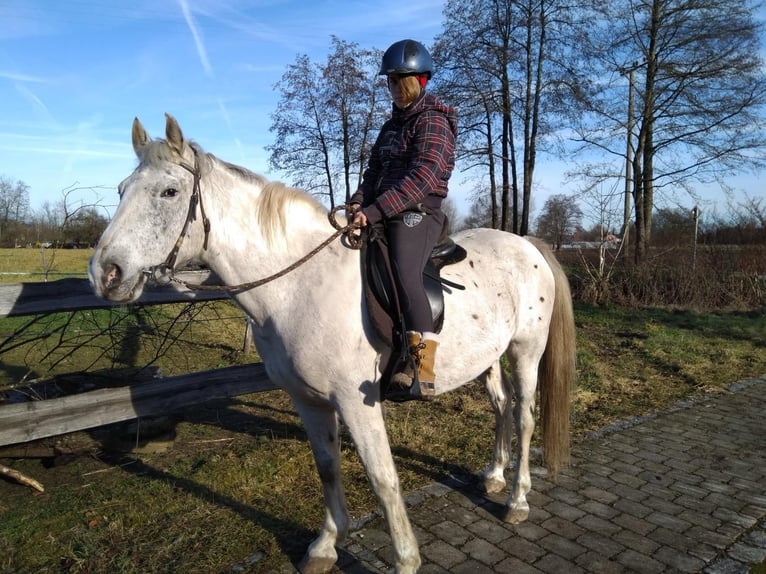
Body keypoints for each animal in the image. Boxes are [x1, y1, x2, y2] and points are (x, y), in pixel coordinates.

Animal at [89, 113, 576, 574]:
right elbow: (327, 467)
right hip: (488, 358)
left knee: (525, 415)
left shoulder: (356, 400)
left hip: (526, 351)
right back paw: (494, 475)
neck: (298, 284)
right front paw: (326, 545)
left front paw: (405, 559)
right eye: (121, 189)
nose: (105, 274)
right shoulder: (308, 399)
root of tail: (527, 244)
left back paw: (517, 500)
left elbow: (382, 476)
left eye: (170, 192)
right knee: (501, 406)